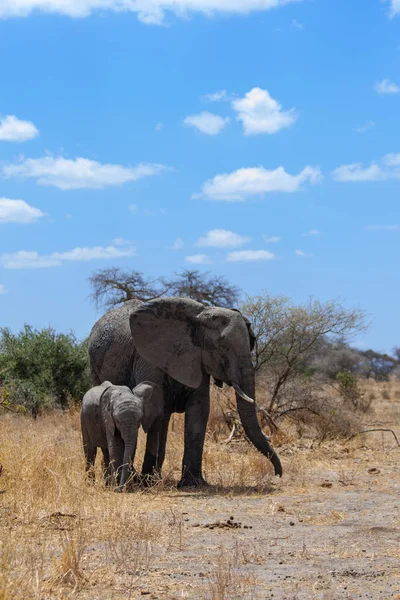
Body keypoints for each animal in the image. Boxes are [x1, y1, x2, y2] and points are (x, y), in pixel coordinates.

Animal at [88, 296, 282, 488]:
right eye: (222, 347)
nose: (277, 475)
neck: (199, 316)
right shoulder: (147, 357)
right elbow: (157, 407)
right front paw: (147, 482)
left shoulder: (198, 357)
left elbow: (200, 409)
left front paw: (192, 484)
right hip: (95, 367)